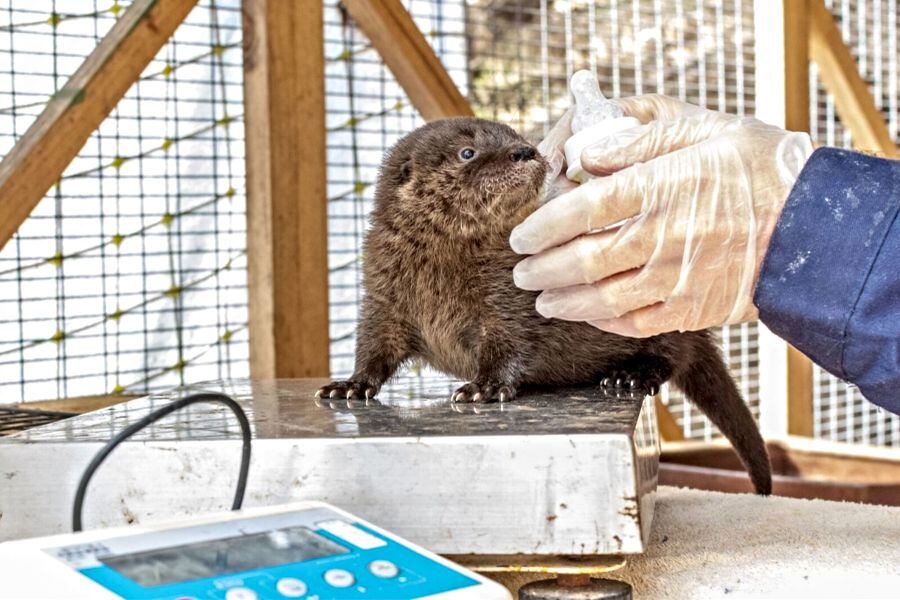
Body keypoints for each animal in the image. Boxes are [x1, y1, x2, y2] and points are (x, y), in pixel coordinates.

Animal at [318, 117, 772, 496]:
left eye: (515, 136)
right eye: (468, 152)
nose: (525, 151)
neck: (438, 270)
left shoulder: (505, 299)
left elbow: (508, 346)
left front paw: (483, 387)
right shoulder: (383, 296)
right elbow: (375, 348)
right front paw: (348, 385)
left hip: (663, 324)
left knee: (670, 357)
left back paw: (628, 376)